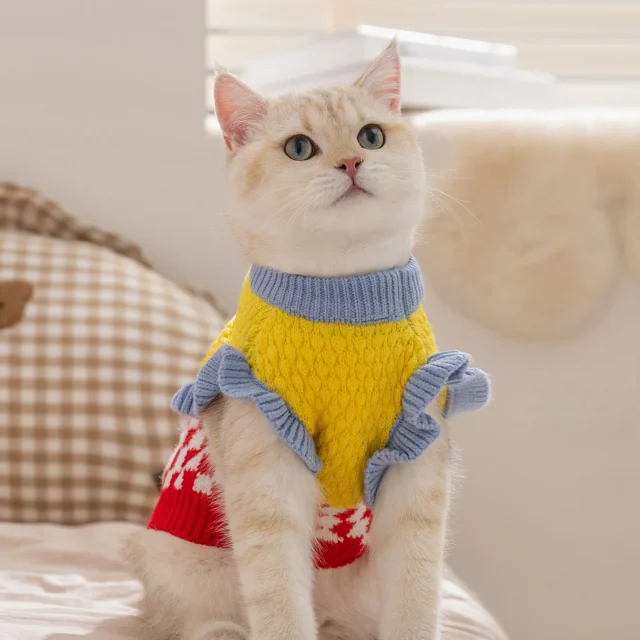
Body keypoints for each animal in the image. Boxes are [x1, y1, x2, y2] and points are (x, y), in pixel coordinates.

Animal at [127, 41, 482, 640]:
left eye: (370, 136)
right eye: (299, 148)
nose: (351, 162)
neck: (342, 301)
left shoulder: (417, 461)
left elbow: (416, 591)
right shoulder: (264, 467)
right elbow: (278, 599)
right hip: (182, 565)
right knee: (188, 621)